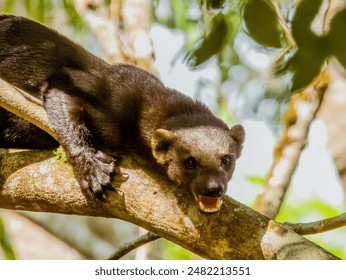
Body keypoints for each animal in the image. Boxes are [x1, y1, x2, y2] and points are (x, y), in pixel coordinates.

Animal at [0, 14, 245, 212]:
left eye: (226, 159)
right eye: (190, 161)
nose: (213, 188)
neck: (139, 104)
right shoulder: (81, 85)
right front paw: (94, 173)